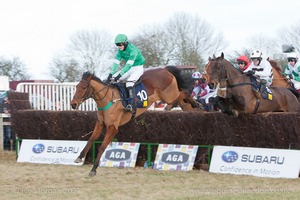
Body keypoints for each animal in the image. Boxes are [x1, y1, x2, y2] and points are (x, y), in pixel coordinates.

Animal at [70, 66, 202, 176]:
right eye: (76, 87)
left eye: (84, 87)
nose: (73, 104)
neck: (108, 99)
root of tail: (164, 70)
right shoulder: (100, 123)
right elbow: (91, 139)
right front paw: (79, 157)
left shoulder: (113, 128)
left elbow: (102, 147)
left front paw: (93, 169)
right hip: (169, 97)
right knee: (182, 97)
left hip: (169, 96)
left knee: (184, 93)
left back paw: (197, 104)